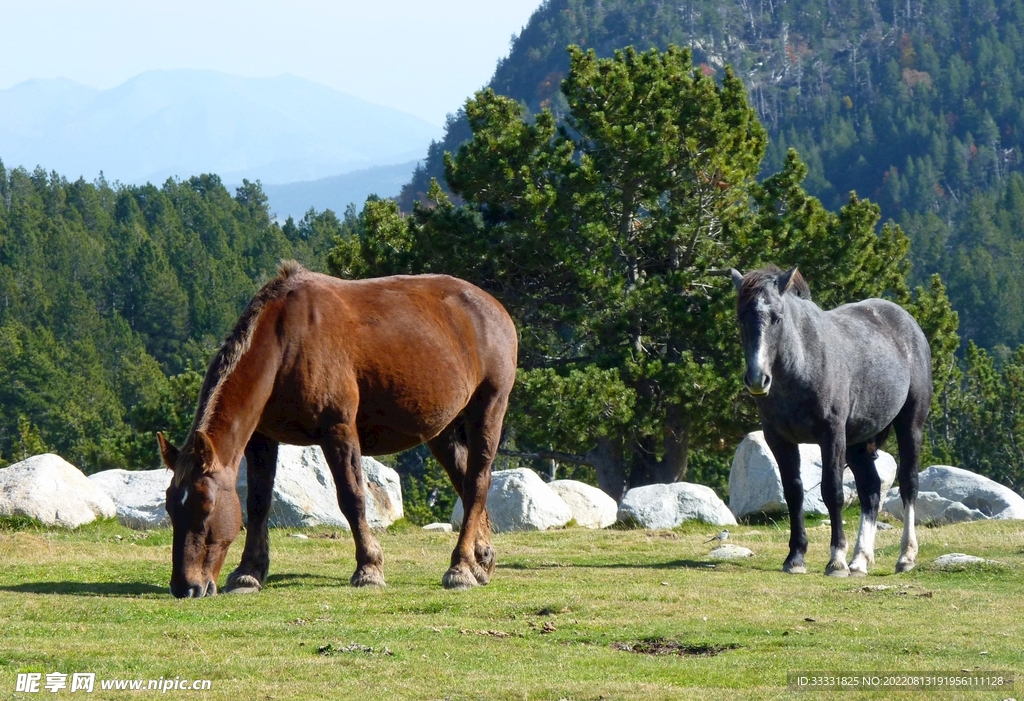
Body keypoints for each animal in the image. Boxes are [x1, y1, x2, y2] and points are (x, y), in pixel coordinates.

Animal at [157, 261, 518, 598]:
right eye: (170, 508)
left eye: (206, 508)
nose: (186, 586)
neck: (286, 342)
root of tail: (493, 307)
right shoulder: (262, 438)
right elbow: (258, 503)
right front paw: (248, 573)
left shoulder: (338, 430)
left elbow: (352, 497)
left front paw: (369, 569)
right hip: (443, 430)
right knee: (464, 482)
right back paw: (480, 560)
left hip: (488, 408)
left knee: (477, 482)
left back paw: (460, 567)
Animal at [730, 265, 931, 576]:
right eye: (741, 317)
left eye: (777, 317)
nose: (756, 378)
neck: (804, 363)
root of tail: (909, 324)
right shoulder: (778, 438)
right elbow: (793, 491)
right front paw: (795, 557)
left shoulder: (832, 435)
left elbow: (832, 491)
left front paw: (836, 560)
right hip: (858, 443)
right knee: (871, 490)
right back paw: (860, 560)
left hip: (909, 425)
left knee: (909, 483)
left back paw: (905, 557)